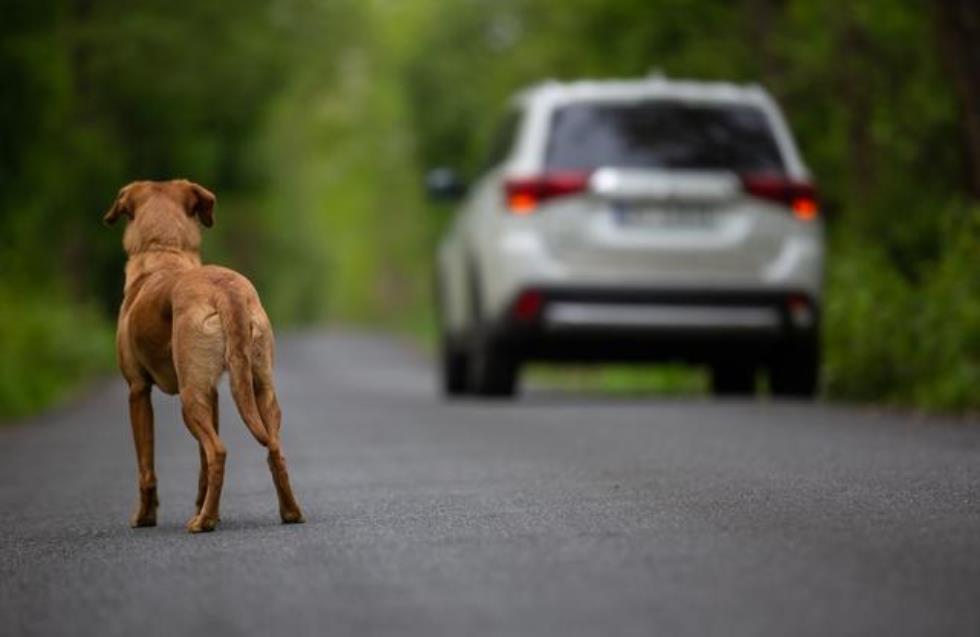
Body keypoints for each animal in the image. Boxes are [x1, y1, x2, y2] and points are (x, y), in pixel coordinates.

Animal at [103, 179, 302, 532]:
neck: (164, 251)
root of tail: (226, 289)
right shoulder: (214, 394)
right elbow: (201, 467)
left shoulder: (138, 390)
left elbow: (146, 466)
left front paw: (145, 517)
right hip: (260, 388)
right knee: (273, 449)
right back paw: (288, 512)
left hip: (190, 397)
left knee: (218, 451)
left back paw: (204, 522)